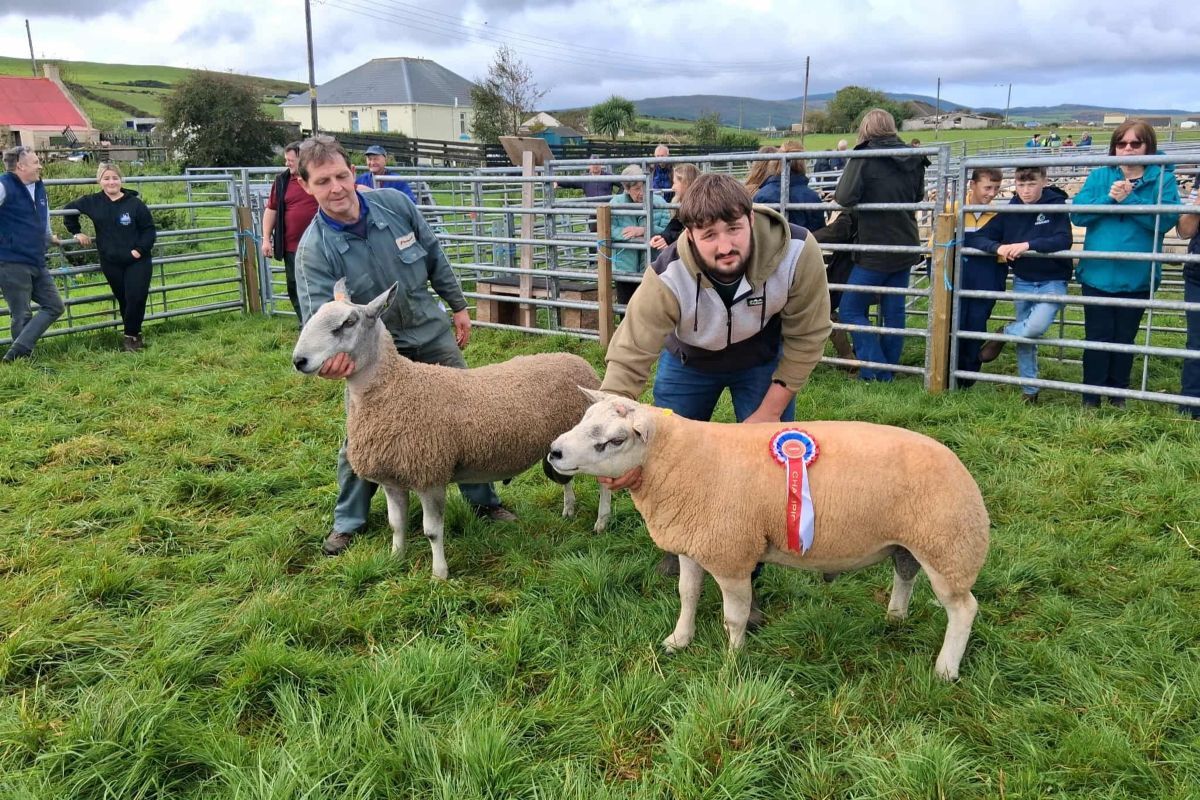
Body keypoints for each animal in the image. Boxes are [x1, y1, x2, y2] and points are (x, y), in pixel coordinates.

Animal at [291, 280, 612, 579]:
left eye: (348, 323)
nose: (299, 361)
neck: (396, 386)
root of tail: (578, 360)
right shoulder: (392, 479)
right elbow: (397, 525)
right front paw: (395, 560)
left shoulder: (430, 475)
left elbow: (432, 531)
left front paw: (439, 574)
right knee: (566, 478)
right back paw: (569, 509)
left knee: (604, 484)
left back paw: (601, 522)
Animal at [547, 390, 990, 681]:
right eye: (584, 419)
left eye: (615, 439)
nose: (553, 452)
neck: (678, 461)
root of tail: (959, 465)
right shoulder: (693, 542)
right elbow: (687, 595)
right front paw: (679, 640)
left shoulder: (731, 554)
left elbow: (733, 615)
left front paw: (731, 661)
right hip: (913, 541)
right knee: (905, 572)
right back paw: (895, 619)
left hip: (949, 544)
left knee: (963, 609)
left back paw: (945, 669)